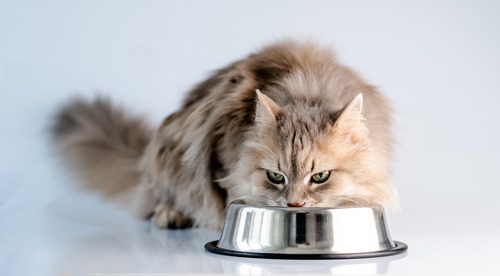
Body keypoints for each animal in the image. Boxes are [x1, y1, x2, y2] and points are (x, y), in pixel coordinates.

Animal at [51, 40, 398, 229]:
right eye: (276, 176)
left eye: (320, 177)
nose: (294, 205)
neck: (307, 92)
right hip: (170, 157)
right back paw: (171, 214)